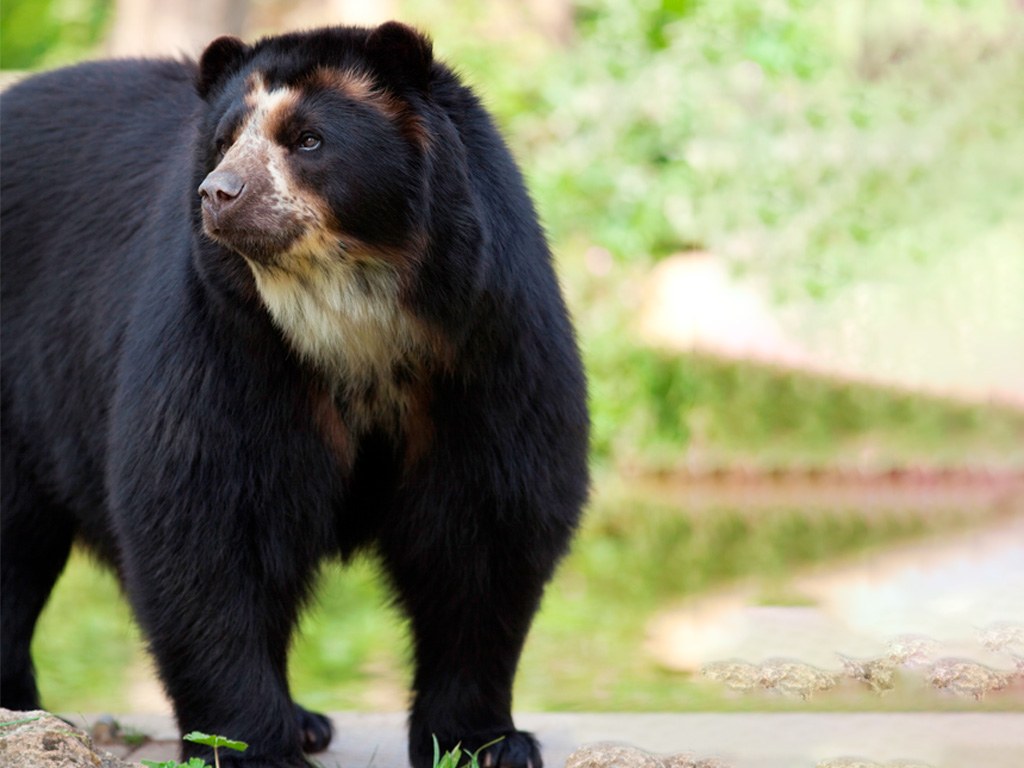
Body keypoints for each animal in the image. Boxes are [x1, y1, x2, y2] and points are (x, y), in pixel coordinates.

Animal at [0, 22, 588, 768]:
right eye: (224, 140)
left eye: (308, 139)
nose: (219, 193)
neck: (348, 312)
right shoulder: (229, 341)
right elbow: (206, 522)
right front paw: (254, 743)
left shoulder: (485, 344)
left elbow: (485, 526)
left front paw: (487, 741)